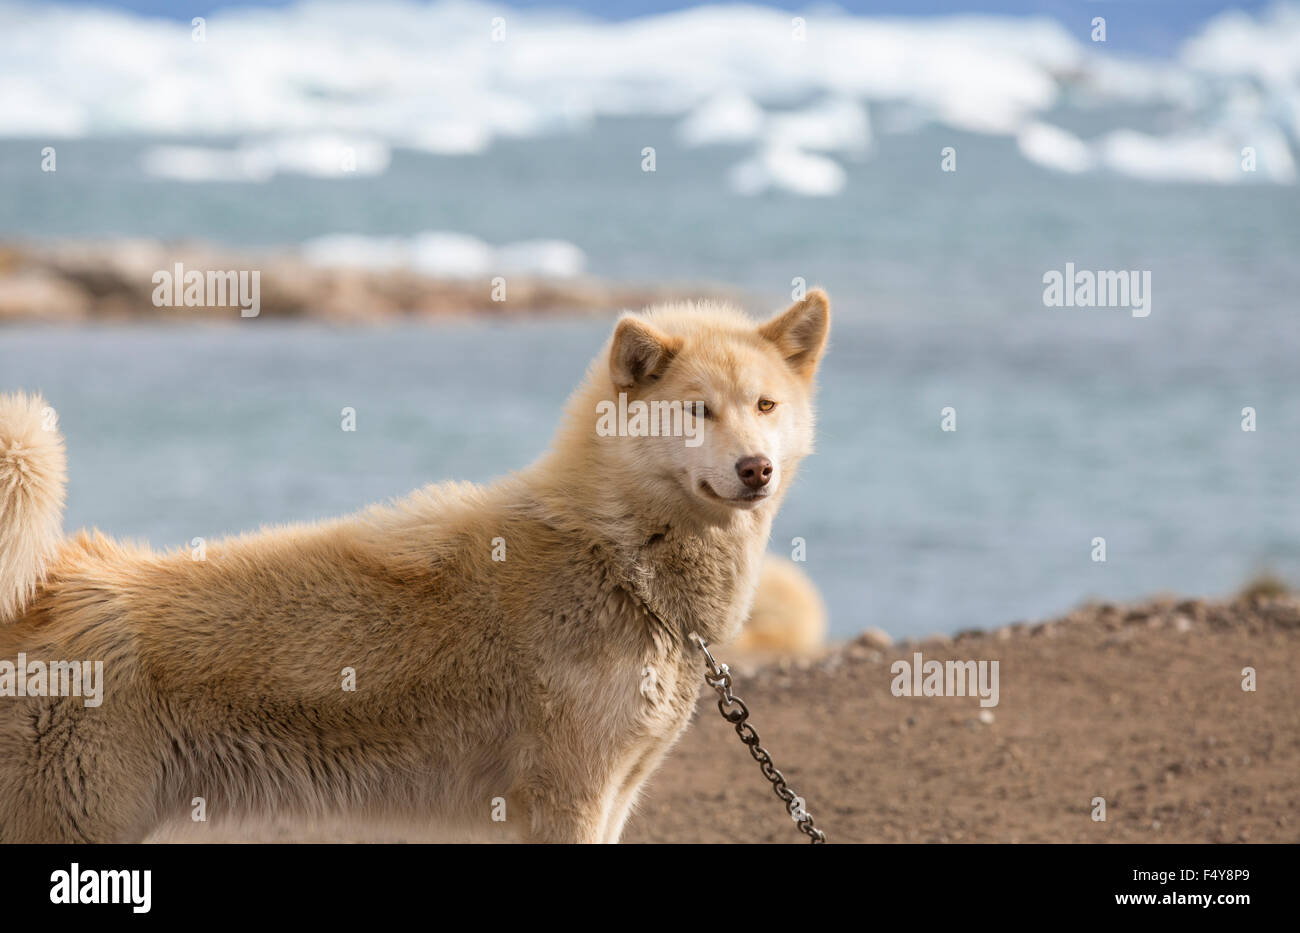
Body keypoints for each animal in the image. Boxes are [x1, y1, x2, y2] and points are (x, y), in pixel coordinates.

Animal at [0, 291, 826, 842]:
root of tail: (44, 589)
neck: (616, 557)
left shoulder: (613, 797)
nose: (755, 469)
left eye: (765, 404)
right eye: (695, 411)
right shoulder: (565, 798)